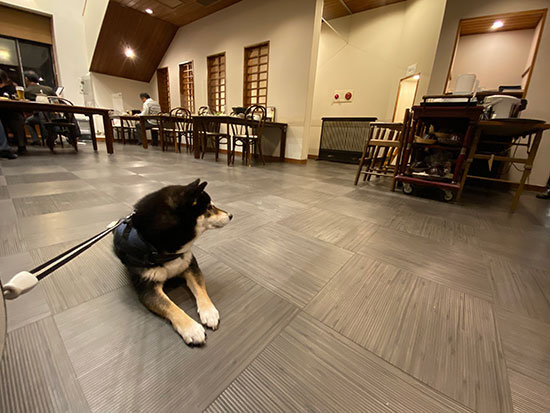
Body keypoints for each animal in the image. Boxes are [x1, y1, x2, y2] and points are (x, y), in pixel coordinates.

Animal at [113, 179, 232, 344]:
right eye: (209, 207)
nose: (231, 215)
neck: (166, 251)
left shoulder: (190, 265)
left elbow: (200, 289)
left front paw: (209, 312)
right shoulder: (147, 288)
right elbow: (170, 306)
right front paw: (192, 329)